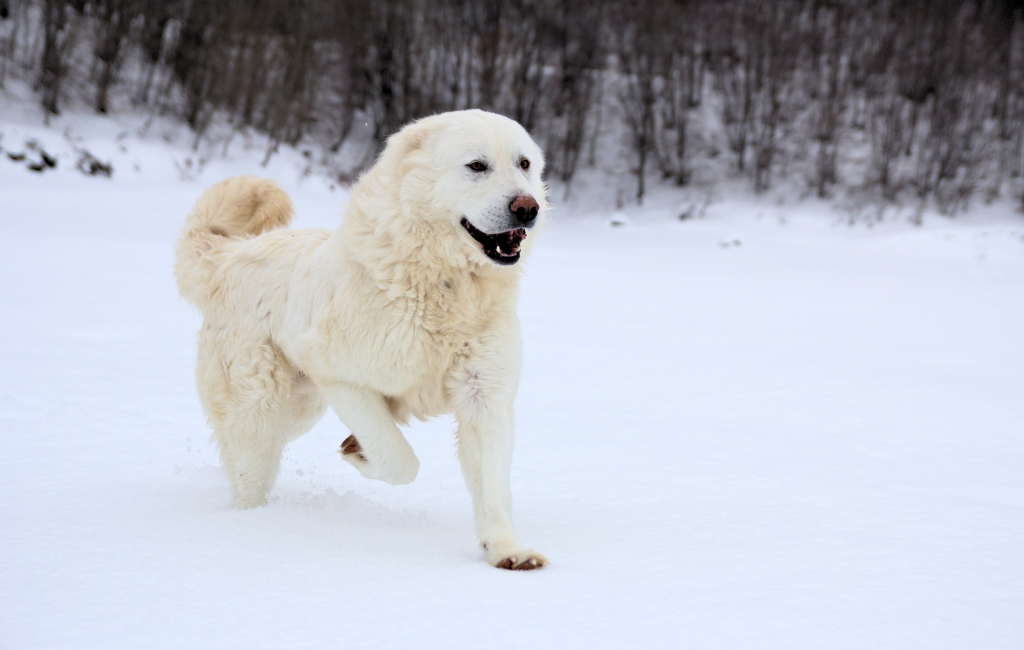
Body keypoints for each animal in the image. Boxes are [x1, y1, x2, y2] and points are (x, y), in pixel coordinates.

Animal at [176, 110, 548, 569]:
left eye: (524, 164)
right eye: (477, 165)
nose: (527, 208)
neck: (443, 286)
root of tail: (228, 258)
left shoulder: (485, 398)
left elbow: (493, 486)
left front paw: (507, 551)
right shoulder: (342, 378)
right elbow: (401, 461)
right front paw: (360, 452)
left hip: (299, 411)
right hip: (260, 411)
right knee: (248, 470)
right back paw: (250, 525)